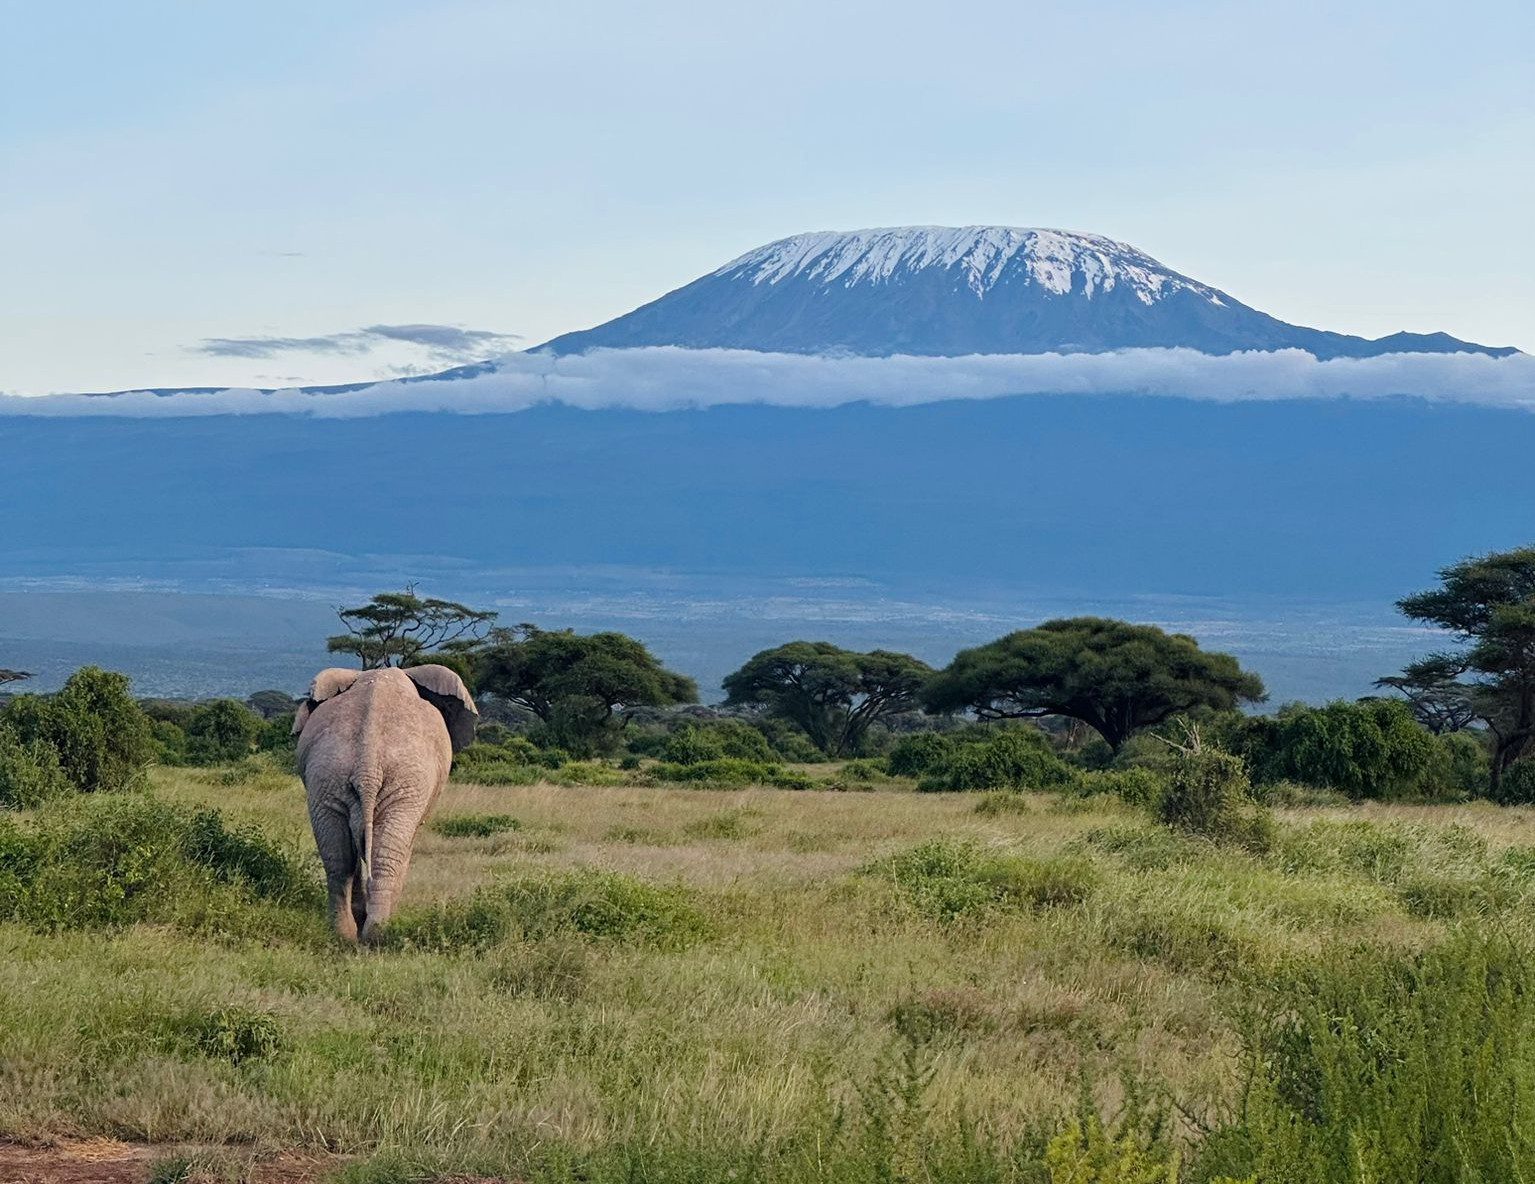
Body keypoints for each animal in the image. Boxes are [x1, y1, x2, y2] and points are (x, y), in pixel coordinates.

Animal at [292, 664, 478, 943]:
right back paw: (377, 934)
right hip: (404, 783)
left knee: (338, 860)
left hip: (327, 777)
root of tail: (367, 765)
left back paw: (345, 935)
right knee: (386, 854)